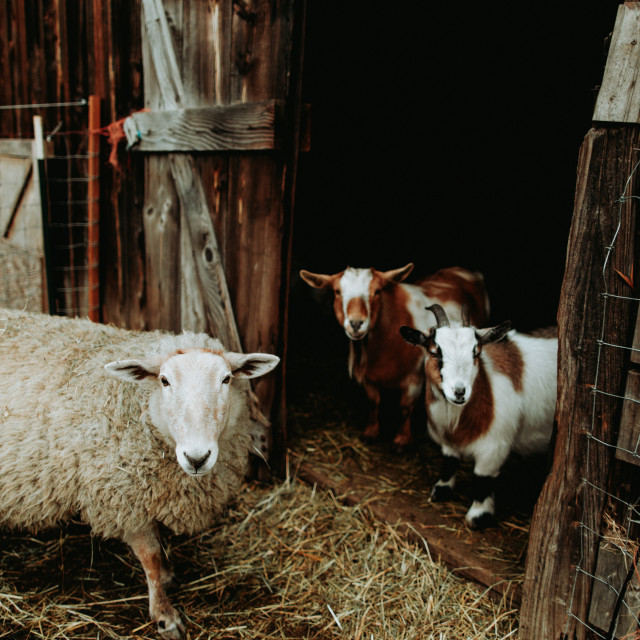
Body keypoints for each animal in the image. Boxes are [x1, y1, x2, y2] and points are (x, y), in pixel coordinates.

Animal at [0, 308, 280, 636]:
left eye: (226, 379)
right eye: (164, 381)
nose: (197, 458)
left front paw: (169, 576)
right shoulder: (124, 498)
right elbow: (151, 557)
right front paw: (164, 615)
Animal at [300, 262, 490, 448]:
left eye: (377, 291)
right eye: (337, 292)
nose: (356, 324)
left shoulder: (414, 376)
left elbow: (406, 407)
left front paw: (402, 439)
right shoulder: (370, 377)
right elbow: (373, 402)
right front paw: (371, 432)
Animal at [400, 304, 556, 528]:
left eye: (476, 353)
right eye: (435, 352)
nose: (459, 392)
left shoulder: (494, 447)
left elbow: (482, 479)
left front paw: (478, 516)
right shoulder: (449, 442)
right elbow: (450, 462)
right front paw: (441, 490)